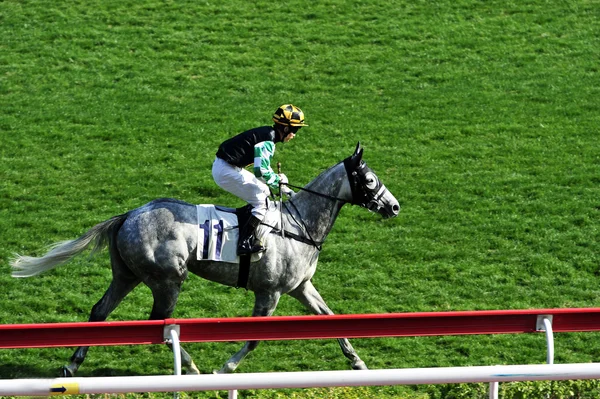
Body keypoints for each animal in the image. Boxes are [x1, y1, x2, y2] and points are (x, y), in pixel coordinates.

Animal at [10, 142, 398, 376]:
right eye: (369, 179)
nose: (393, 206)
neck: (297, 226)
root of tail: (129, 214)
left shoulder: (301, 287)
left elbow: (331, 319)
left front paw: (359, 363)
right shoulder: (269, 293)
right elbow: (254, 339)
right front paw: (224, 369)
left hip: (126, 275)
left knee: (99, 312)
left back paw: (72, 364)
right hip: (168, 279)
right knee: (160, 324)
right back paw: (193, 367)